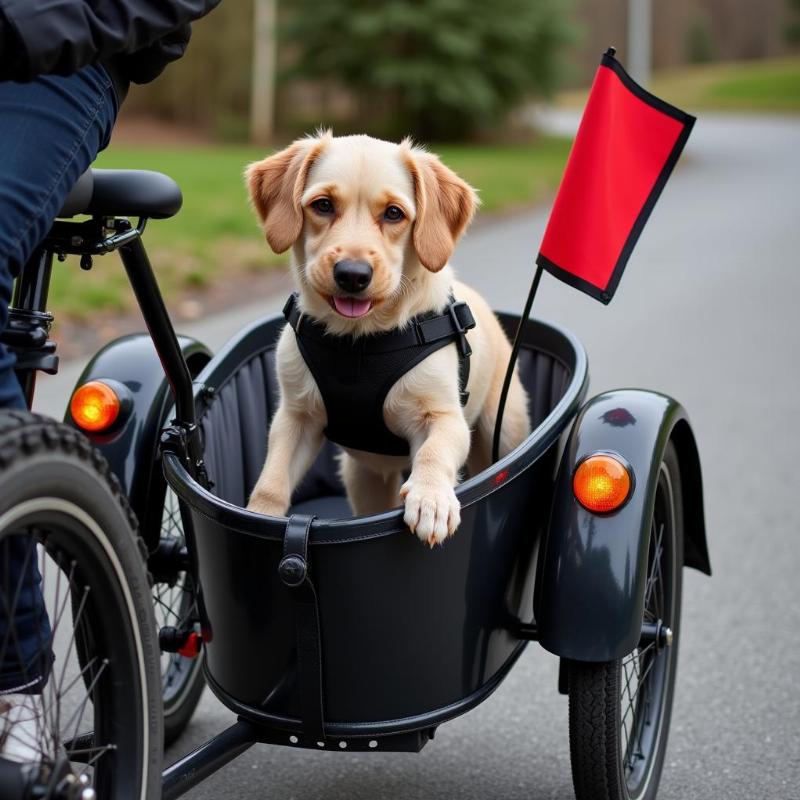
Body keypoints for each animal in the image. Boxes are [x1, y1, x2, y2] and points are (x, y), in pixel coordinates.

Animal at [245, 134, 532, 548]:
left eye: (394, 214)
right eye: (323, 205)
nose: (352, 275)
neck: (358, 343)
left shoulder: (446, 418)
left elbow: (434, 453)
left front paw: (430, 499)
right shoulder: (295, 417)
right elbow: (272, 478)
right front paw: (258, 516)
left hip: (503, 426)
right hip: (362, 478)